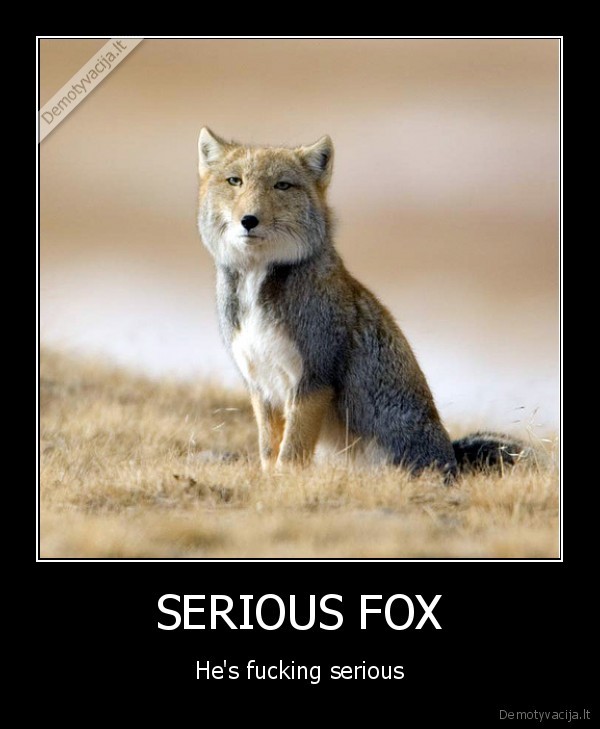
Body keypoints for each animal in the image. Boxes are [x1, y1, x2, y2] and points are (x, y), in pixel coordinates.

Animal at [197, 127, 525, 480]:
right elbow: (269, 451)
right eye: (235, 181)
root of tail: (452, 460)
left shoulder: (313, 379)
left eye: (282, 185)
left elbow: (291, 453)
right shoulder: (261, 386)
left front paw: (284, 480)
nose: (249, 220)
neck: (257, 284)